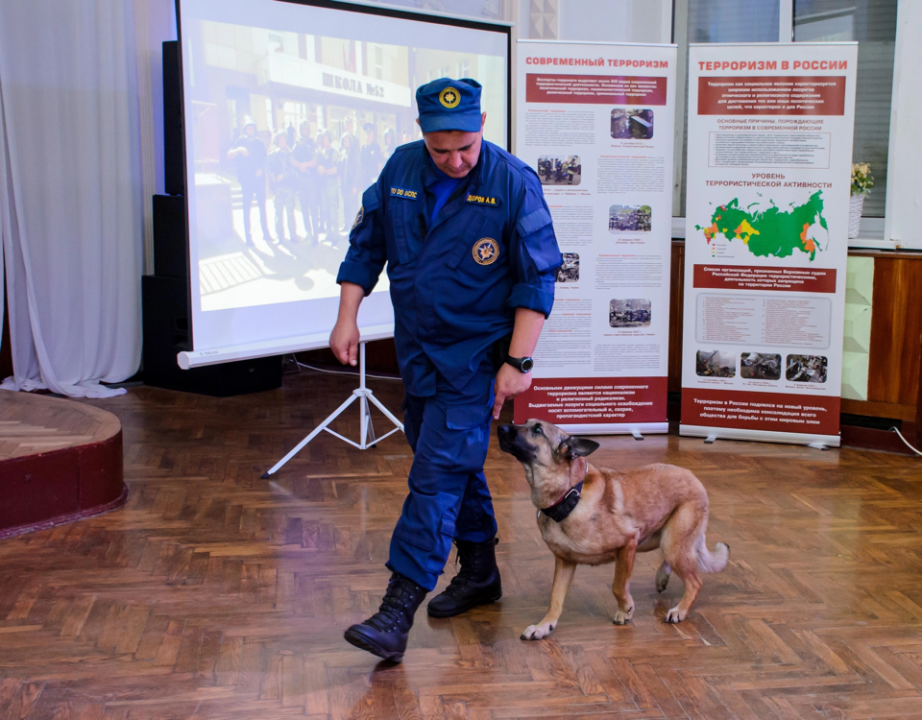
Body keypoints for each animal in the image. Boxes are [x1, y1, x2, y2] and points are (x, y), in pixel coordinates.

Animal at [496, 420, 724, 640]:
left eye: (537, 429)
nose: (499, 427)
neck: (571, 495)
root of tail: (693, 476)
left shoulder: (628, 544)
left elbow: (618, 585)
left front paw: (625, 610)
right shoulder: (565, 563)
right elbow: (555, 599)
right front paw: (544, 626)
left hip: (672, 543)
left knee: (695, 582)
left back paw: (680, 610)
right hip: (661, 540)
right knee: (672, 563)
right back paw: (662, 577)